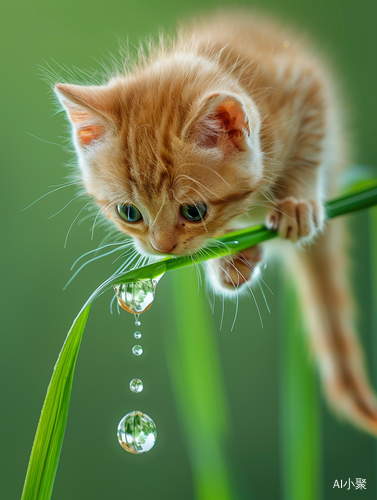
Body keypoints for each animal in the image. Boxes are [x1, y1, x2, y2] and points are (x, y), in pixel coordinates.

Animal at [54, 10, 376, 434]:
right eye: (130, 213)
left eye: (193, 212)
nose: (161, 247)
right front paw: (230, 261)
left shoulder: (305, 86)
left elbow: (309, 150)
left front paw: (297, 200)